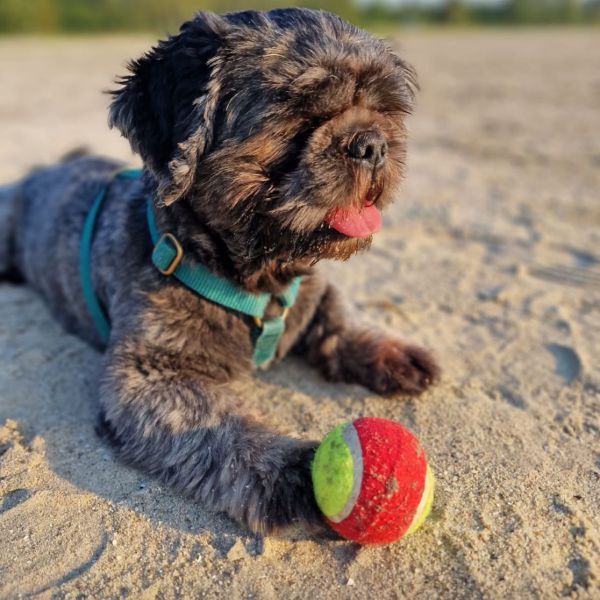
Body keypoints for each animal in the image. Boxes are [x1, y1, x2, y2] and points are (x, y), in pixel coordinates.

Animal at [0, 8, 440, 536]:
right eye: (300, 114)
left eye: (384, 110)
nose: (372, 143)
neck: (258, 280)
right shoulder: (148, 377)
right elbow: (218, 427)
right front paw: (285, 467)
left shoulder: (312, 293)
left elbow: (340, 321)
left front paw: (388, 352)